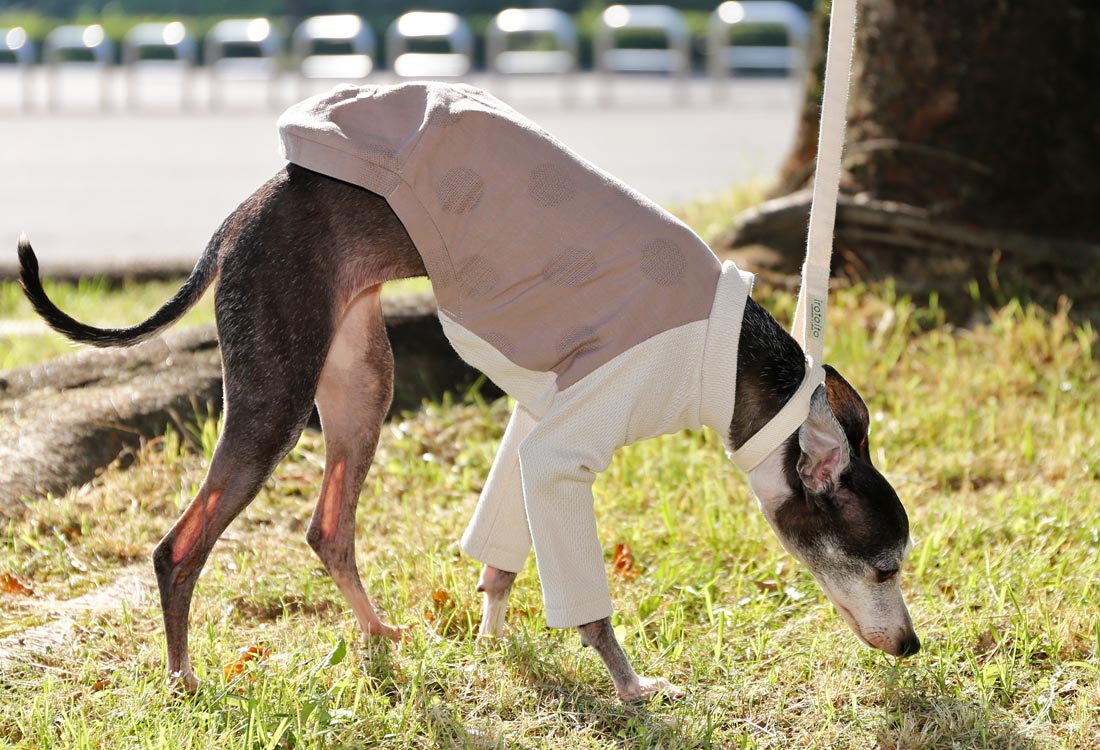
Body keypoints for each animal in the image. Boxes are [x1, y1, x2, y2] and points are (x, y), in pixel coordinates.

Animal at [15, 83, 919, 699]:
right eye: (882, 569)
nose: (912, 646)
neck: (728, 362)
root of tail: (246, 209)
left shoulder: (533, 426)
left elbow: (501, 559)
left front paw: (489, 637)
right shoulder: (561, 452)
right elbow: (585, 600)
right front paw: (630, 688)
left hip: (361, 386)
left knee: (327, 528)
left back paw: (376, 633)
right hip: (274, 401)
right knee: (179, 548)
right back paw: (183, 678)